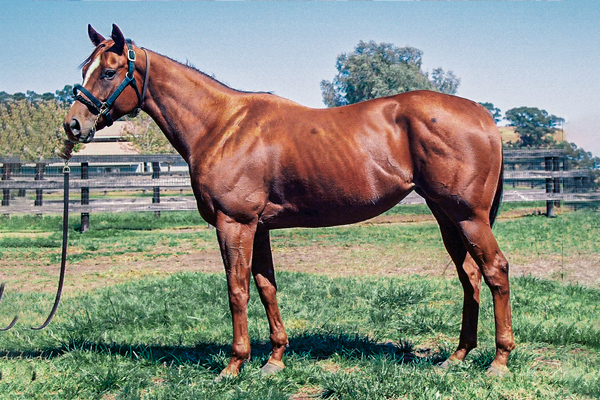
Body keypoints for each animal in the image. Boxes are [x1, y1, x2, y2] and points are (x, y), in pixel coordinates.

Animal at [62, 25, 516, 378]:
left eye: (108, 72)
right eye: (84, 69)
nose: (74, 125)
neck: (221, 126)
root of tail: (483, 117)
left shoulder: (234, 223)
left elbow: (237, 290)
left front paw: (234, 364)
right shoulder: (258, 227)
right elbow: (266, 287)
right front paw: (275, 359)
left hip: (469, 216)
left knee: (495, 270)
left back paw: (499, 360)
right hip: (447, 216)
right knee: (470, 277)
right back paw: (457, 356)